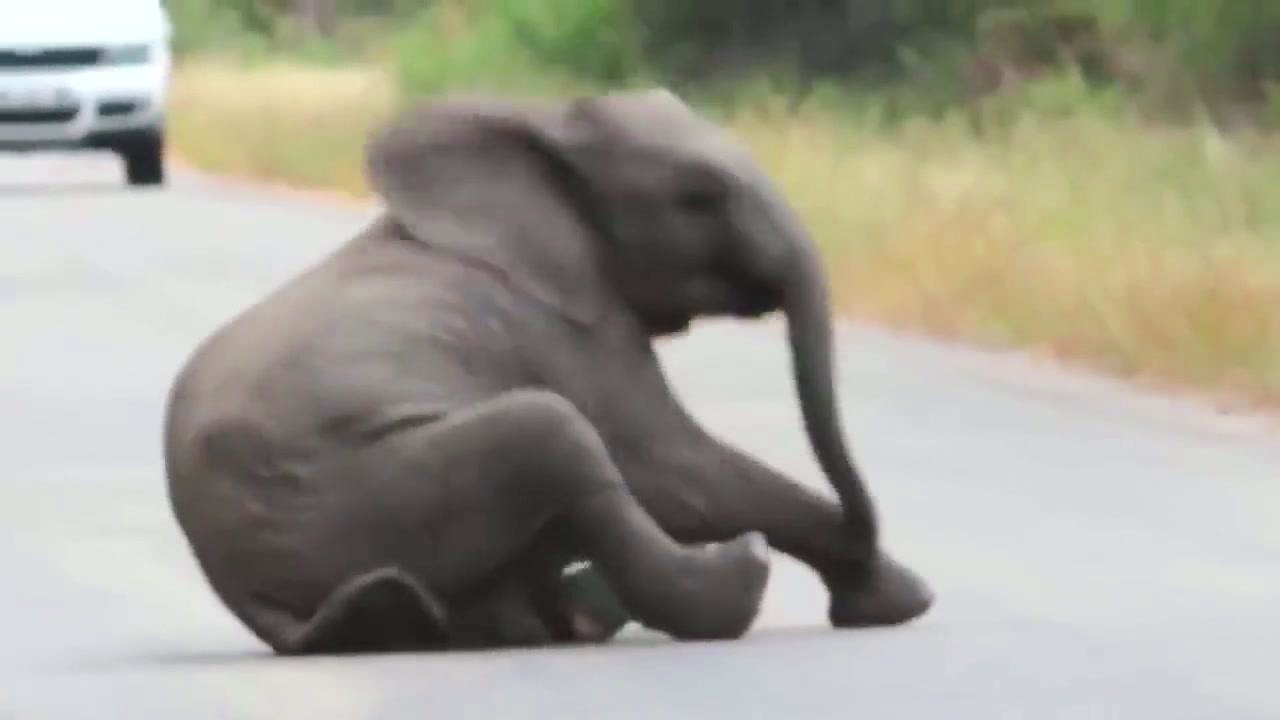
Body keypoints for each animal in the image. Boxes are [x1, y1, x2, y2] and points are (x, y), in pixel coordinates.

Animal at [165, 88, 936, 650]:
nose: (865, 555)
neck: (546, 136)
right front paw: (899, 599)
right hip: (356, 498)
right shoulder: (570, 328)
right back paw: (733, 579)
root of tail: (254, 599)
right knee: (555, 435)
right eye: (696, 197)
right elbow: (679, 472)